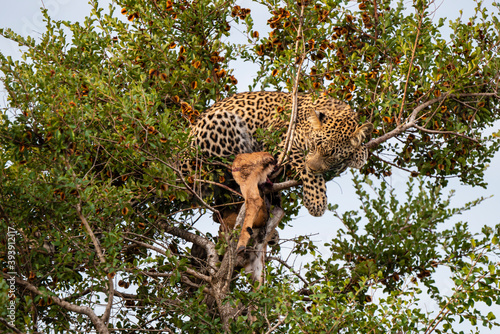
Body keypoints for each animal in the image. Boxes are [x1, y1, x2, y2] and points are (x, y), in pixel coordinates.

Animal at [189, 91, 374, 217]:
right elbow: (305, 169)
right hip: (221, 121)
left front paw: (360, 153)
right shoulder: (283, 139)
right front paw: (316, 200)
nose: (313, 167)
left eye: (331, 156)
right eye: (313, 146)